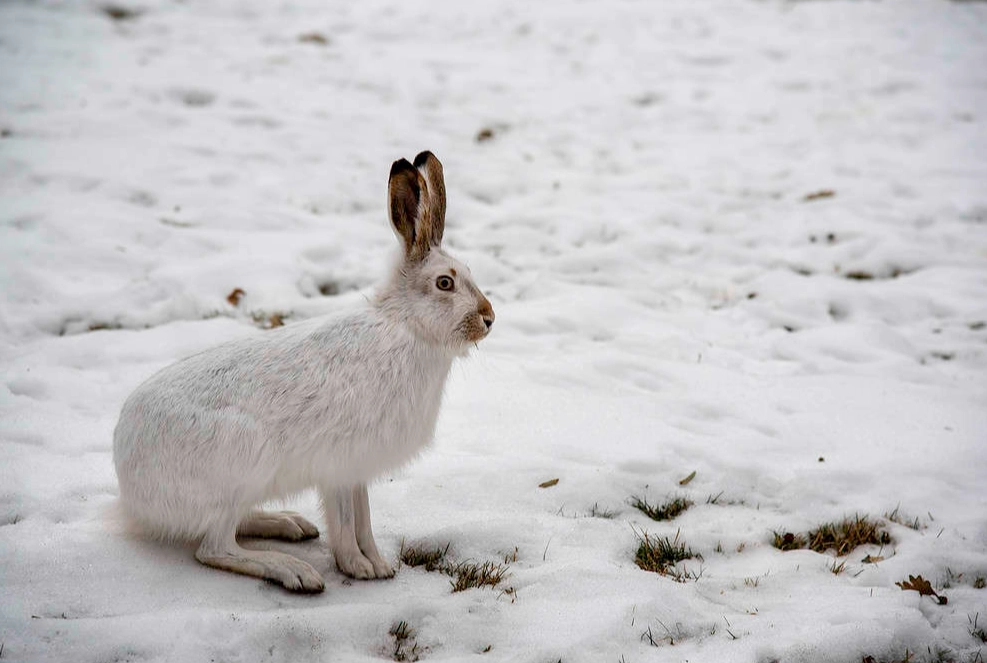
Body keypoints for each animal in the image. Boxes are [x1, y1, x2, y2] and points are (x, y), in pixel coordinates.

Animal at [113, 152, 494, 593]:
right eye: (445, 283)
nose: (489, 318)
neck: (406, 326)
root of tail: (129, 485)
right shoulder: (338, 465)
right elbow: (346, 520)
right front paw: (359, 567)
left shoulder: (357, 469)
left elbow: (363, 518)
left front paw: (378, 565)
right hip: (243, 462)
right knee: (214, 547)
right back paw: (293, 570)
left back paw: (289, 524)